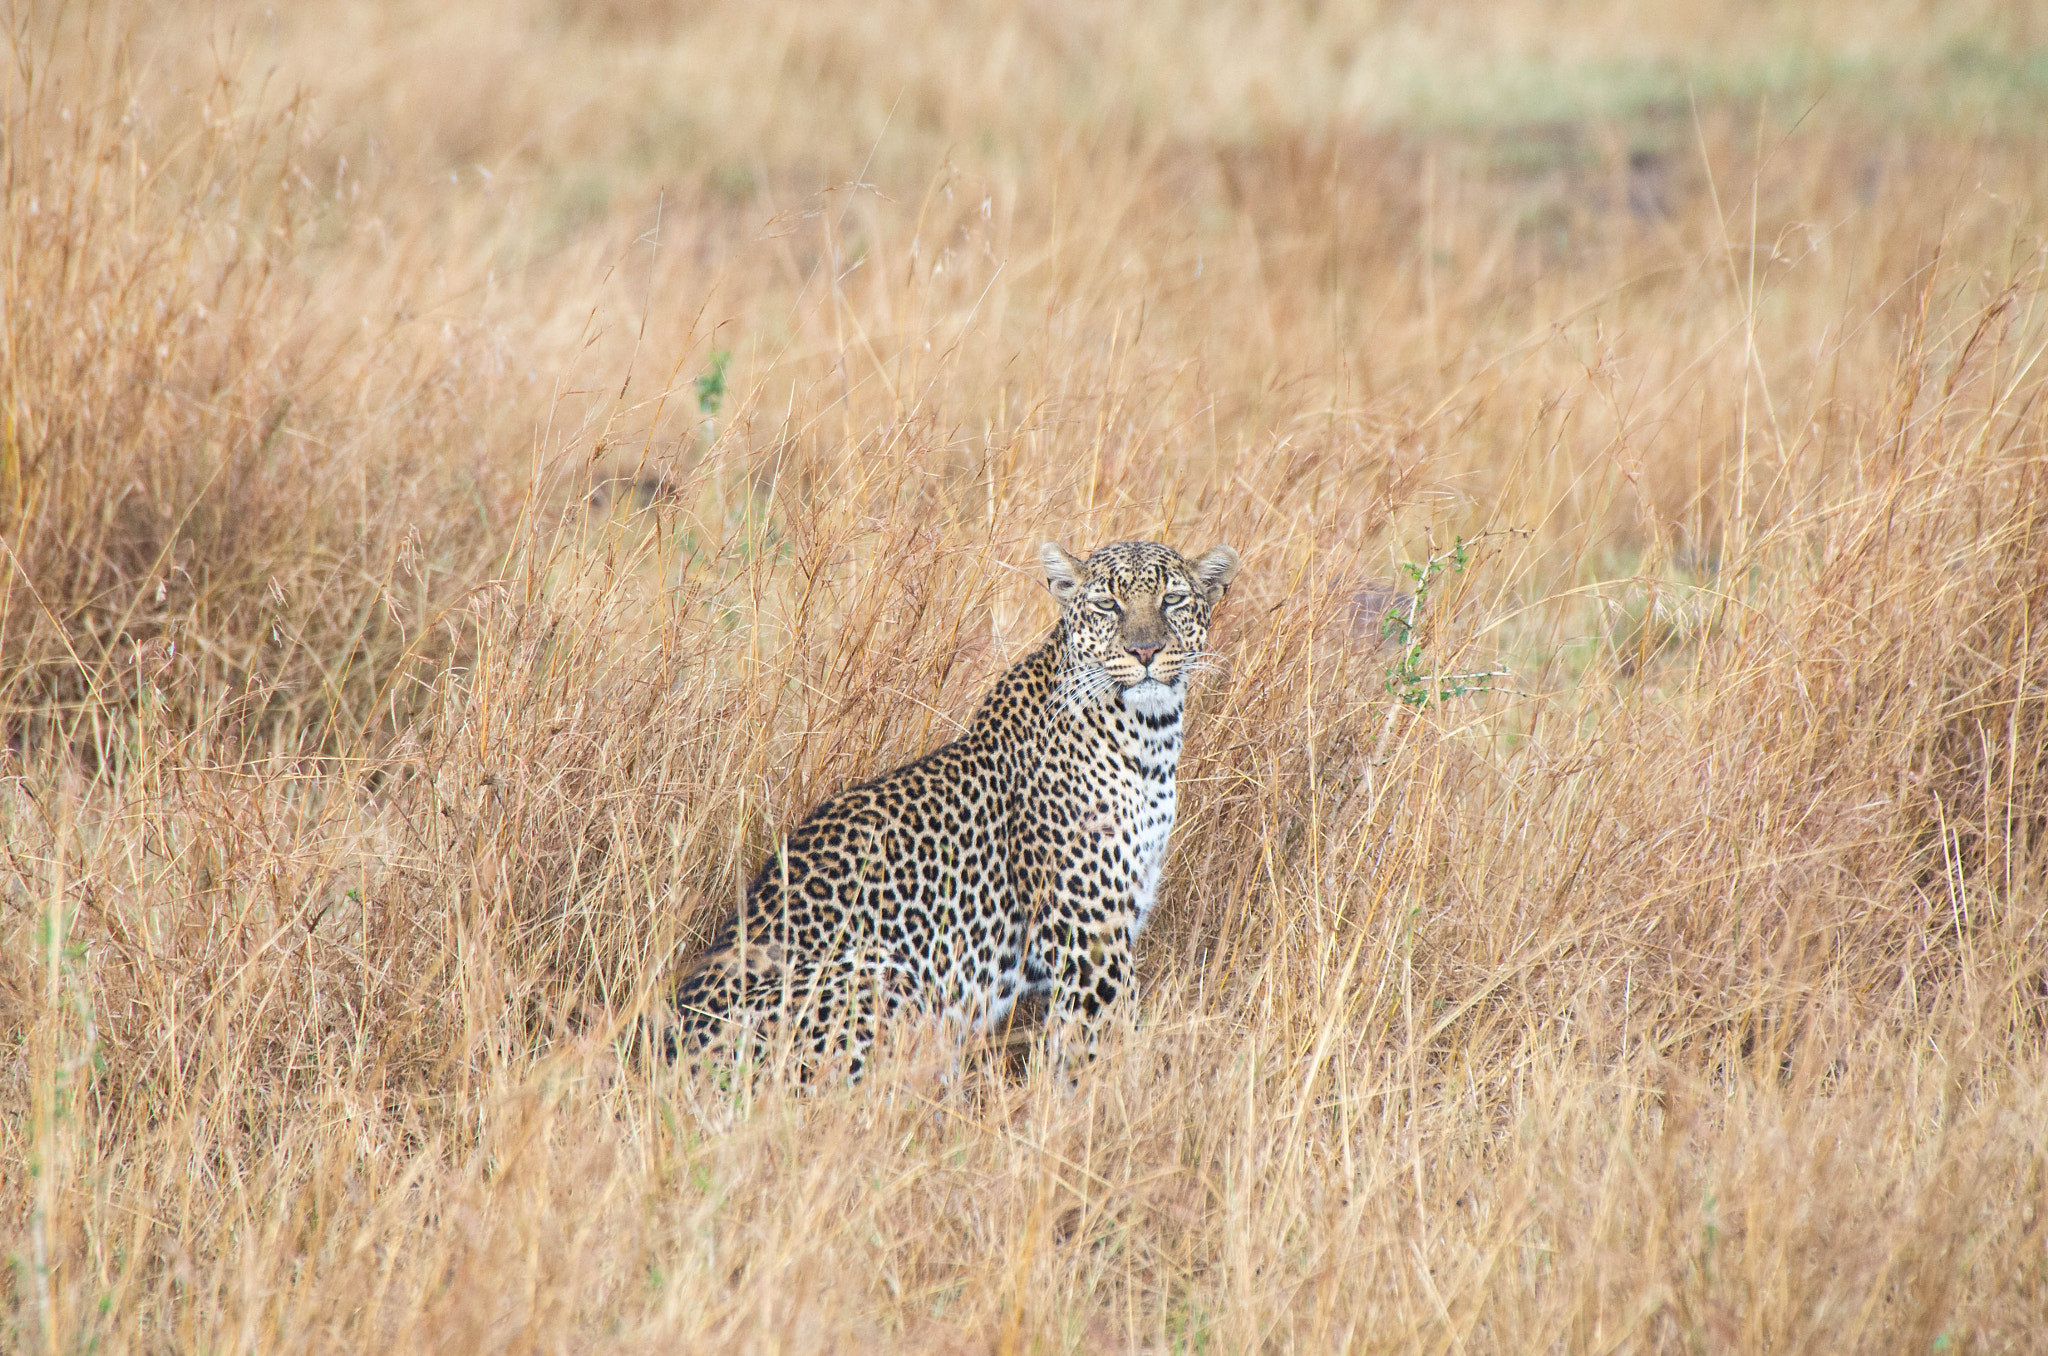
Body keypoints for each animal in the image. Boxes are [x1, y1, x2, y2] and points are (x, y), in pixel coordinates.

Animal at [671, 540, 1236, 1081]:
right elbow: (1098, 1047)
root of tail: (670, 1052)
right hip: (886, 977)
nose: (1145, 651)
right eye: (1106, 604)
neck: (1150, 736)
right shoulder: (1087, 937)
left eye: (1172, 600)